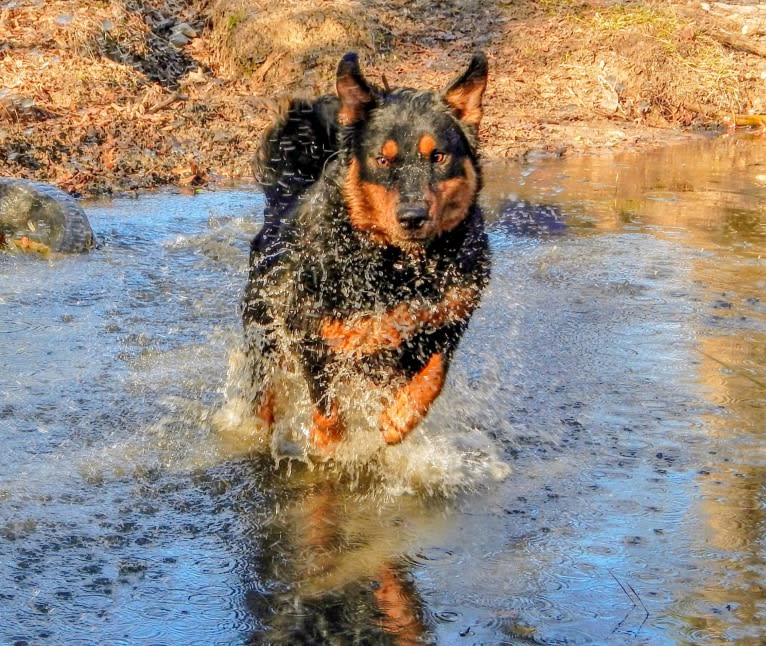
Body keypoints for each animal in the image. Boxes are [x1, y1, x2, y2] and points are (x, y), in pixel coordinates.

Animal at [242, 50, 492, 454]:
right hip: (263, 329)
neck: (401, 268)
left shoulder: (449, 320)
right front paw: (330, 446)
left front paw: (400, 418)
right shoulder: (308, 331)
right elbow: (327, 407)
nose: (412, 216)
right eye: (383, 159)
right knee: (264, 393)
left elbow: (435, 373)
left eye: (438, 156)